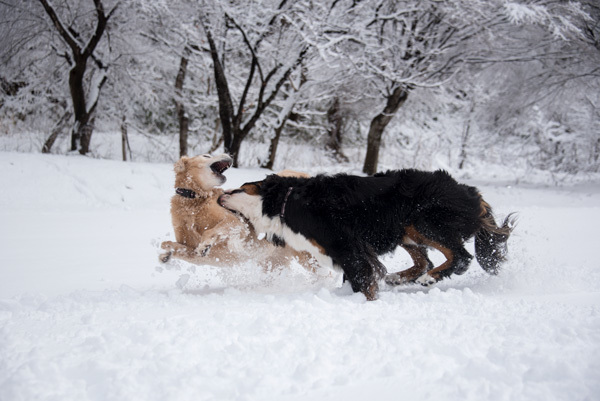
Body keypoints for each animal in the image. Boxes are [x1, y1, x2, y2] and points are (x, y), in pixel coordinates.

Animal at [162, 153, 316, 272]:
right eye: (206, 156)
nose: (230, 155)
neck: (194, 200)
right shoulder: (200, 256)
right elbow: (172, 245)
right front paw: (166, 254)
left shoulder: (237, 224)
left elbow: (211, 231)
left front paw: (205, 245)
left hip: (307, 257)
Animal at [218, 169, 512, 300]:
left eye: (241, 187)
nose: (220, 195)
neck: (287, 203)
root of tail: (470, 192)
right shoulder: (354, 251)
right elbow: (359, 276)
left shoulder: (346, 246)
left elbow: (362, 279)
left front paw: (364, 302)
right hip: (405, 230)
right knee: (424, 261)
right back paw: (397, 278)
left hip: (424, 220)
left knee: (460, 257)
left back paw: (429, 278)